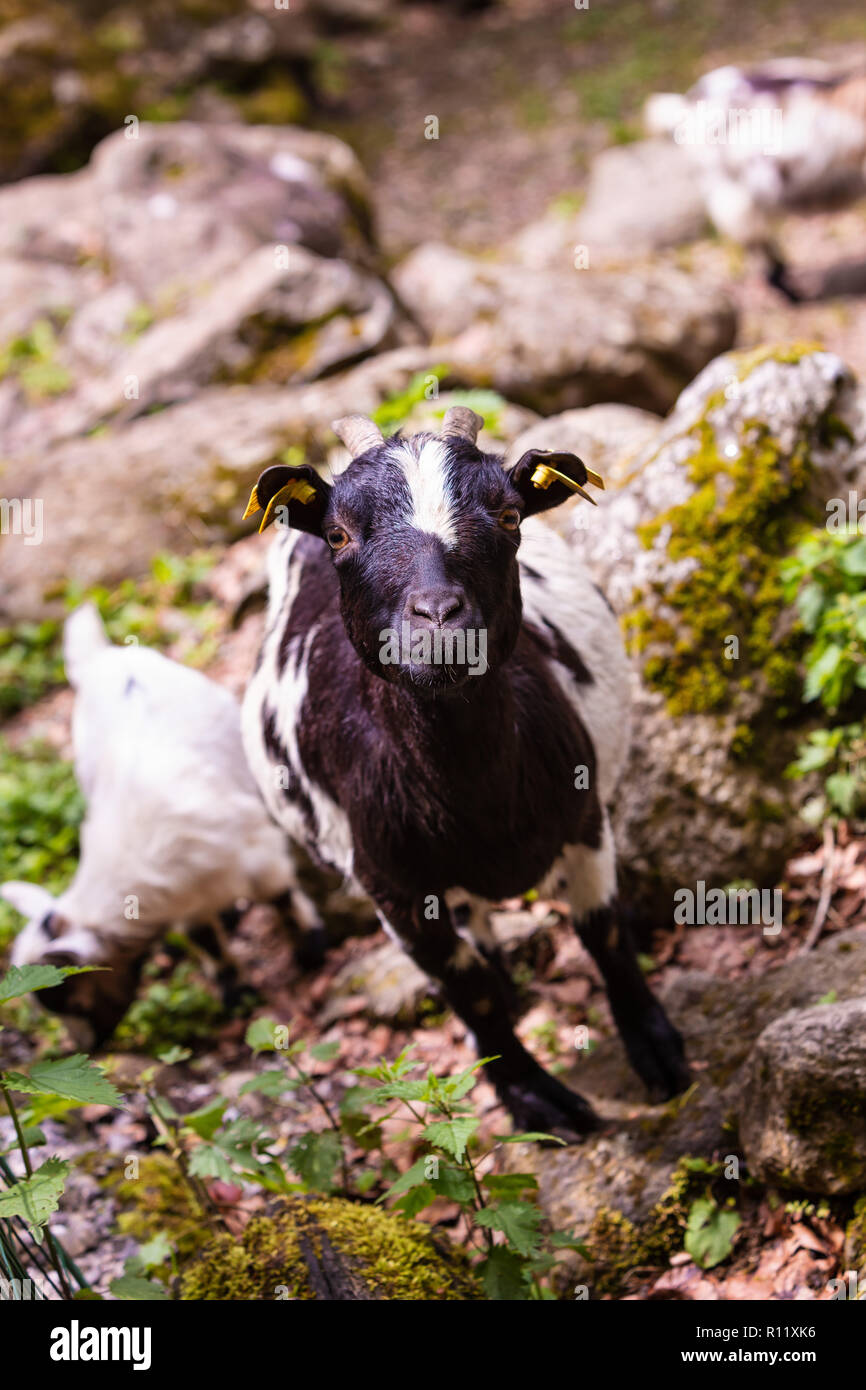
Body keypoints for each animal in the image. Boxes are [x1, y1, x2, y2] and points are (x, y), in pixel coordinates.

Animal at [0, 603, 318, 1045]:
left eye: (71, 1001)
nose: (88, 1047)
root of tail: (104, 658)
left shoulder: (259, 858)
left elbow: (281, 898)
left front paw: (310, 948)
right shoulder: (186, 900)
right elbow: (207, 941)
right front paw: (236, 992)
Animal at [244, 405, 692, 1139]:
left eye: (509, 515)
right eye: (340, 533)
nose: (439, 620)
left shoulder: (585, 817)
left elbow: (603, 933)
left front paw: (658, 1051)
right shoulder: (392, 890)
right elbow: (466, 990)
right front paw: (536, 1098)